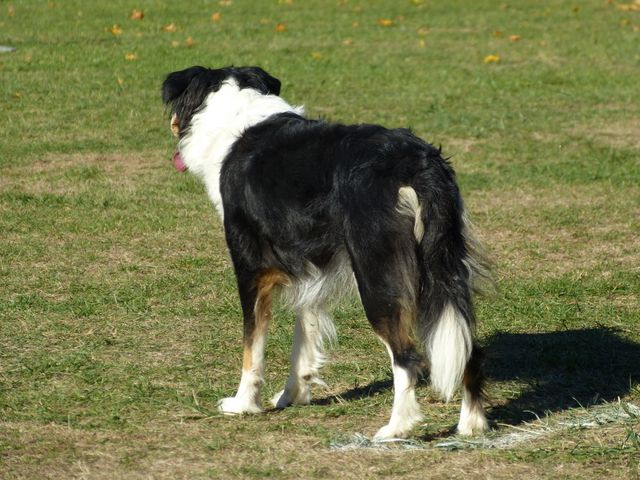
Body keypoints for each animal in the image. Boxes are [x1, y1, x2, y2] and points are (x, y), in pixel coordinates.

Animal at [161, 65, 490, 439]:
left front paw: (242, 404)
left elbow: (252, 345)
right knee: (467, 346)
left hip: (378, 274)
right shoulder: (311, 265)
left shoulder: (251, 268)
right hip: (443, 263)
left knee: (407, 357)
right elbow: (304, 335)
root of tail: (417, 164)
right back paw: (471, 424)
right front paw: (293, 395)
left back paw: (396, 428)